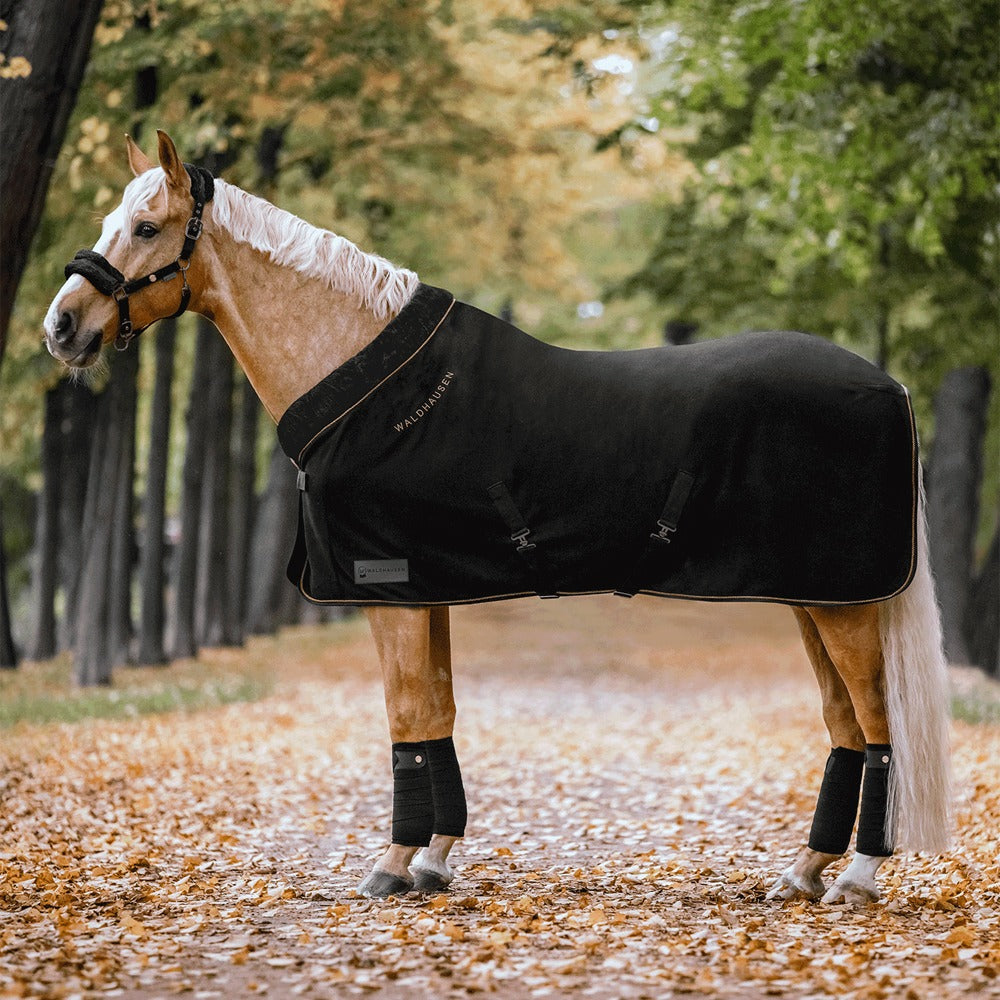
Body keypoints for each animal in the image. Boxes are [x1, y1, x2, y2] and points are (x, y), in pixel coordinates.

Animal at [43, 131, 951, 904]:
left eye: (146, 226)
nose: (62, 327)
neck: (368, 382)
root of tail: (891, 385)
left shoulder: (387, 590)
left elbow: (408, 720)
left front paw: (392, 864)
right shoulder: (425, 592)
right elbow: (438, 716)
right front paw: (436, 861)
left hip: (842, 603)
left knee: (878, 727)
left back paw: (858, 877)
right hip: (816, 597)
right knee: (844, 726)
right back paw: (803, 872)